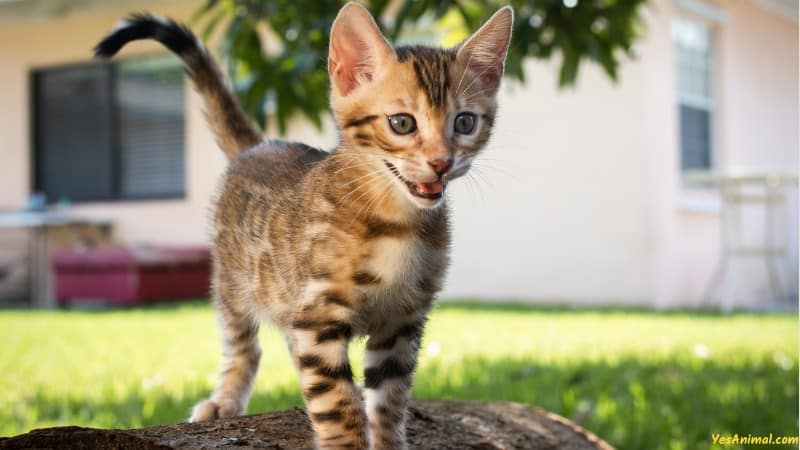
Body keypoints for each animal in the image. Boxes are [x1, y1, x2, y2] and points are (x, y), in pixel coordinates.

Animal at [95, 4, 512, 450]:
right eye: (402, 123)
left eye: (465, 123)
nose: (441, 163)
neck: (396, 222)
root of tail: (260, 144)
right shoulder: (318, 315)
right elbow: (336, 400)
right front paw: (346, 440)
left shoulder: (402, 322)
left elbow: (389, 399)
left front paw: (387, 439)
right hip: (233, 283)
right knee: (243, 346)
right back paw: (225, 399)